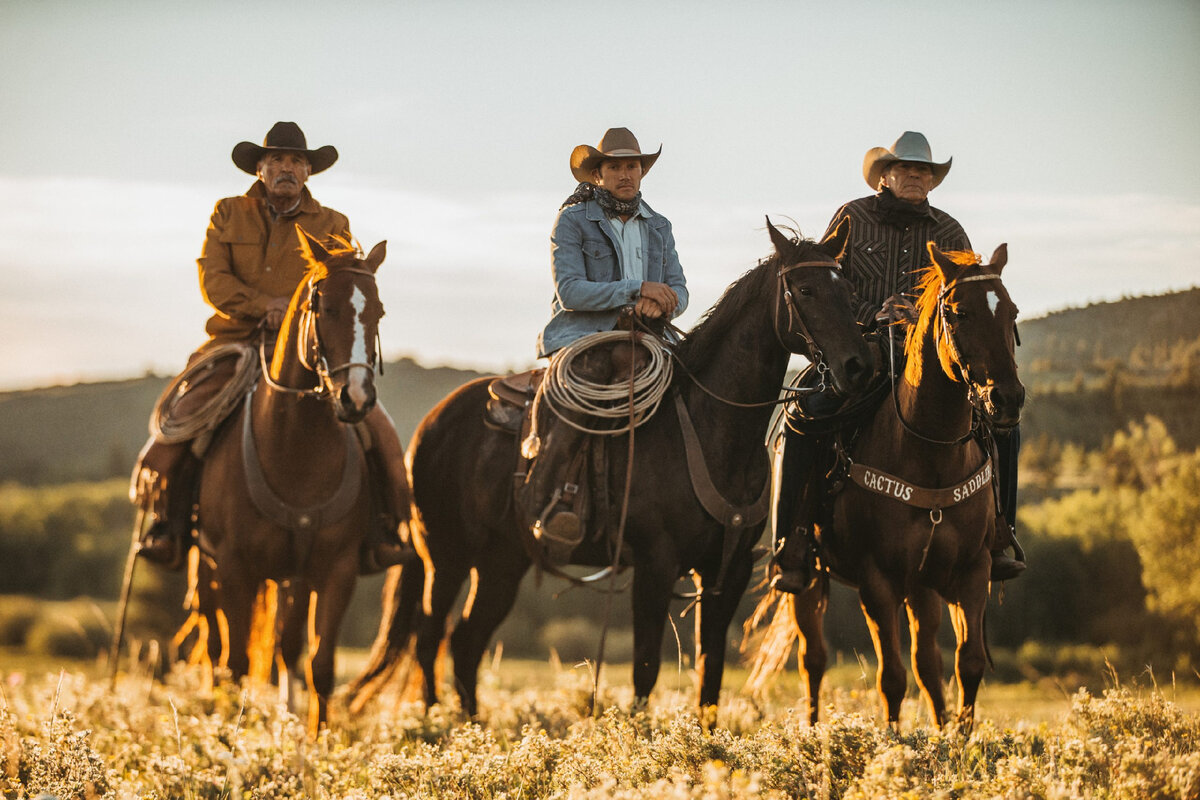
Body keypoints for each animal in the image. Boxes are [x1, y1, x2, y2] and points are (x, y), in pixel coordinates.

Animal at [194, 227, 386, 734]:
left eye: (378, 312)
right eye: (325, 308)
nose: (356, 398)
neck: (295, 452)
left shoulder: (334, 570)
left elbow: (318, 664)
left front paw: (316, 741)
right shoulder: (235, 568)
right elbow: (238, 662)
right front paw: (231, 737)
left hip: (291, 578)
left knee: (287, 647)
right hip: (206, 568)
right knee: (216, 646)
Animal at [350, 215, 878, 724]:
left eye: (849, 290)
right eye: (805, 290)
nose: (858, 368)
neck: (711, 429)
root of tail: (432, 424)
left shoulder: (726, 572)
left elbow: (709, 678)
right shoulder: (655, 566)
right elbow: (645, 670)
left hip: (502, 562)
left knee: (464, 642)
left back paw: (472, 730)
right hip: (447, 556)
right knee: (429, 638)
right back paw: (434, 729)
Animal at [748, 242, 1022, 734]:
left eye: (1010, 311)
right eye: (958, 313)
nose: (1006, 399)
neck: (929, 453)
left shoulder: (972, 571)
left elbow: (967, 663)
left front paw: (960, 740)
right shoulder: (878, 581)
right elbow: (891, 676)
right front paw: (894, 745)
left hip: (924, 586)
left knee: (928, 660)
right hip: (811, 579)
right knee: (812, 659)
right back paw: (813, 731)